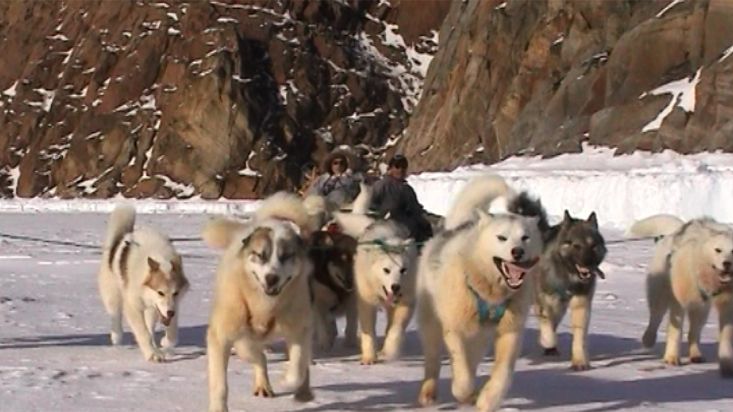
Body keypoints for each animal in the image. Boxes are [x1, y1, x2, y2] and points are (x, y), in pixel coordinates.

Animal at [97, 204, 189, 362]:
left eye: (176, 293)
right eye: (160, 292)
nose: (170, 313)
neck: (159, 257)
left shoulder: (172, 306)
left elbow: (172, 333)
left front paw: (166, 344)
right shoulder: (133, 306)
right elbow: (143, 332)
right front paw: (151, 353)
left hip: (150, 310)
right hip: (113, 295)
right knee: (115, 315)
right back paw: (116, 336)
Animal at [203, 193, 314, 412]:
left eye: (285, 256)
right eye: (261, 255)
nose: (272, 278)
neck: (264, 305)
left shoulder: (299, 330)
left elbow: (297, 369)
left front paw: (289, 382)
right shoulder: (221, 337)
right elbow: (220, 384)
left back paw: (301, 391)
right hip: (243, 340)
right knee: (258, 357)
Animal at [332, 185, 418, 366]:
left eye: (403, 270)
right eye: (386, 270)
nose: (395, 287)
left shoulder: (406, 302)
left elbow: (396, 330)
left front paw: (390, 350)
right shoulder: (366, 302)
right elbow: (368, 332)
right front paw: (369, 357)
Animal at [414, 175, 540, 412]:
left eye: (525, 237)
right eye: (502, 238)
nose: (517, 252)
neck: (491, 291)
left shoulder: (510, 332)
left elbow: (502, 374)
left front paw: (486, 400)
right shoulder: (454, 329)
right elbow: (460, 371)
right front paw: (464, 391)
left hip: (480, 336)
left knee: (472, 359)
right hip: (433, 324)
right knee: (434, 360)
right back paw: (429, 393)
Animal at [628, 214, 732, 374]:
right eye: (718, 250)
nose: (727, 264)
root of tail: (674, 232)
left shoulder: (726, 305)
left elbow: (725, 336)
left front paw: (727, 366)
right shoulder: (679, 302)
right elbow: (675, 332)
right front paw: (672, 358)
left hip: (701, 309)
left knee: (693, 333)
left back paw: (696, 355)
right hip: (660, 295)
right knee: (655, 319)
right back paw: (648, 339)